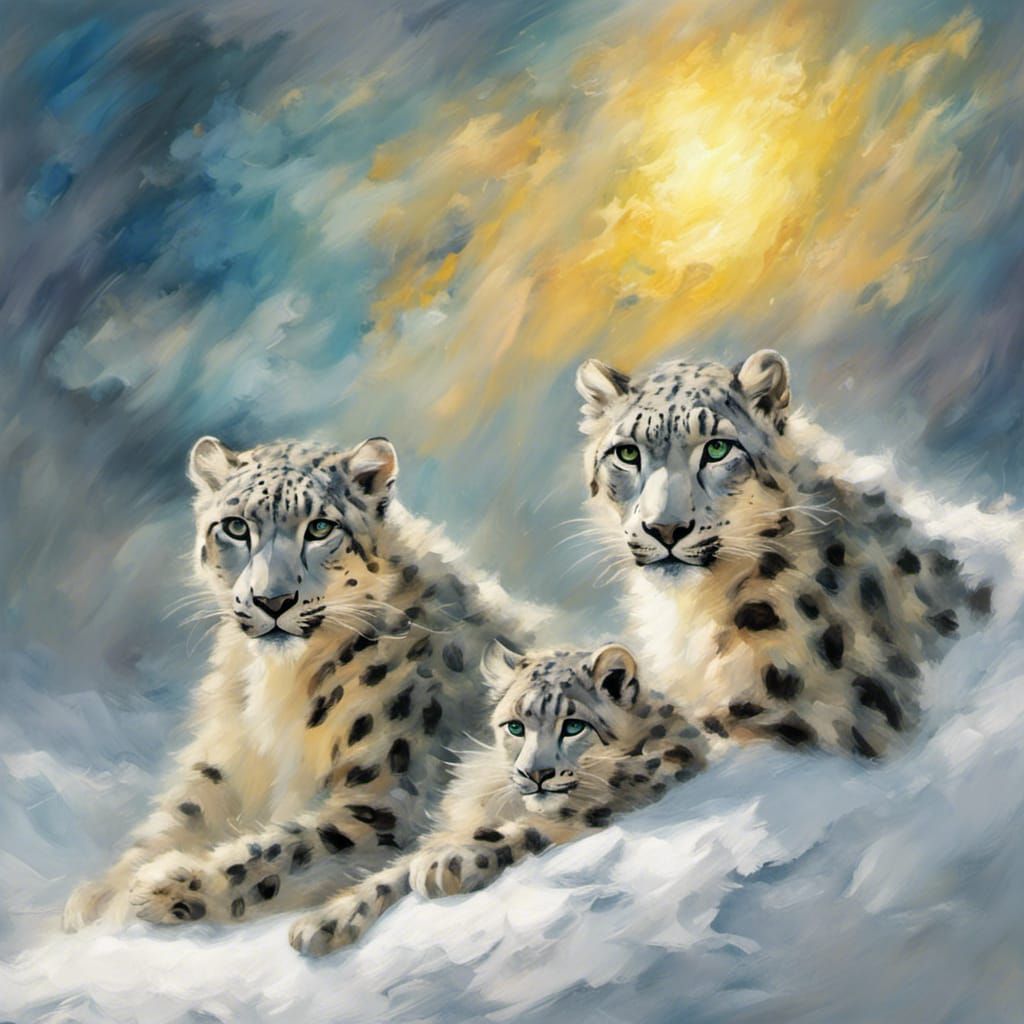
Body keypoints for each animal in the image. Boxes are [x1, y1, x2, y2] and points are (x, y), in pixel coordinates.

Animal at [61, 434, 544, 932]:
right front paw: (99, 895)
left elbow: (282, 850)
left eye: (319, 528)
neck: (279, 683)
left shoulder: (383, 799)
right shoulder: (223, 763)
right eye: (235, 527)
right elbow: (181, 812)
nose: (272, 600)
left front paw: (169, 884)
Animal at [288, 639, 707, 956]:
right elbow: (394, 869)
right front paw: (324, 922)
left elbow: (530, 827)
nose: (536, 775)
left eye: (573, 726)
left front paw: (446, 863)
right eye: (515, 727)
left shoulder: (627, 788)